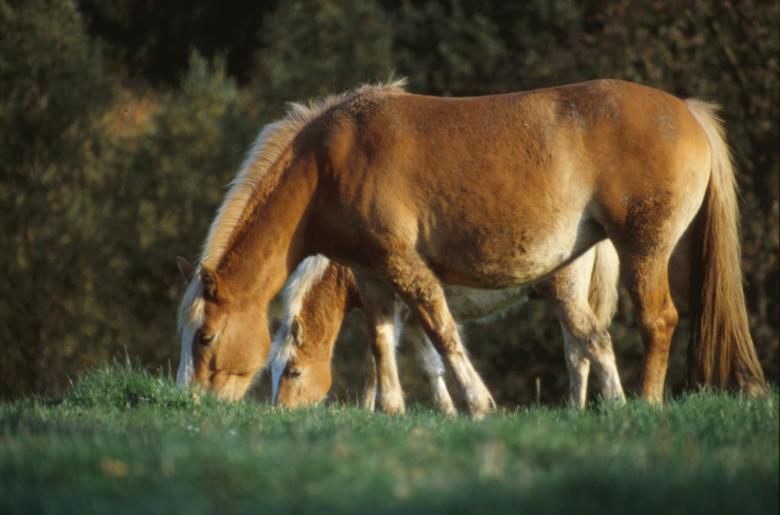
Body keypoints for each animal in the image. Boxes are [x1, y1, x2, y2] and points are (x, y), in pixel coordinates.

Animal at [268, 240, 623, 414]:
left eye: (294, 372)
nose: (279, 412)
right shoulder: (413, 318)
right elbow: (430, 367)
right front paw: (448, 413)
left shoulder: (395, 312)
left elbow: (375, 362)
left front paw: (368, 410)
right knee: (577, 355)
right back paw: (574, 413)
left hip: (567, 296)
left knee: (595, 343)